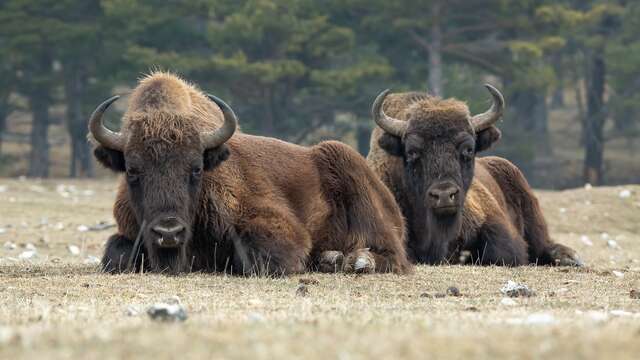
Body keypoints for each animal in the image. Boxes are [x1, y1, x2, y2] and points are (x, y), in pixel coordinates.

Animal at [90, 72, 410, 276]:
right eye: (132, 170)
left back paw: (355, 262)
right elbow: (115, 255)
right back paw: (331, 259)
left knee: (393, 254)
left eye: (196, 168)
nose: (168, 232)